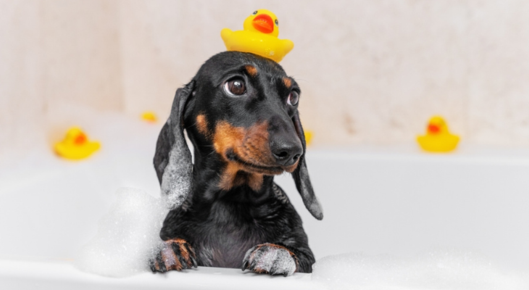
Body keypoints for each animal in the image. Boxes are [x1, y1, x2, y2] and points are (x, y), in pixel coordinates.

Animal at [148, 51, 322, 276]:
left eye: (293, 96)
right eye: (236, 85)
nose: (292, 151)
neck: (231, 203)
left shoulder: (307, 258)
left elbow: (293, 252)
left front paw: (276, 253)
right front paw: (169, 250)